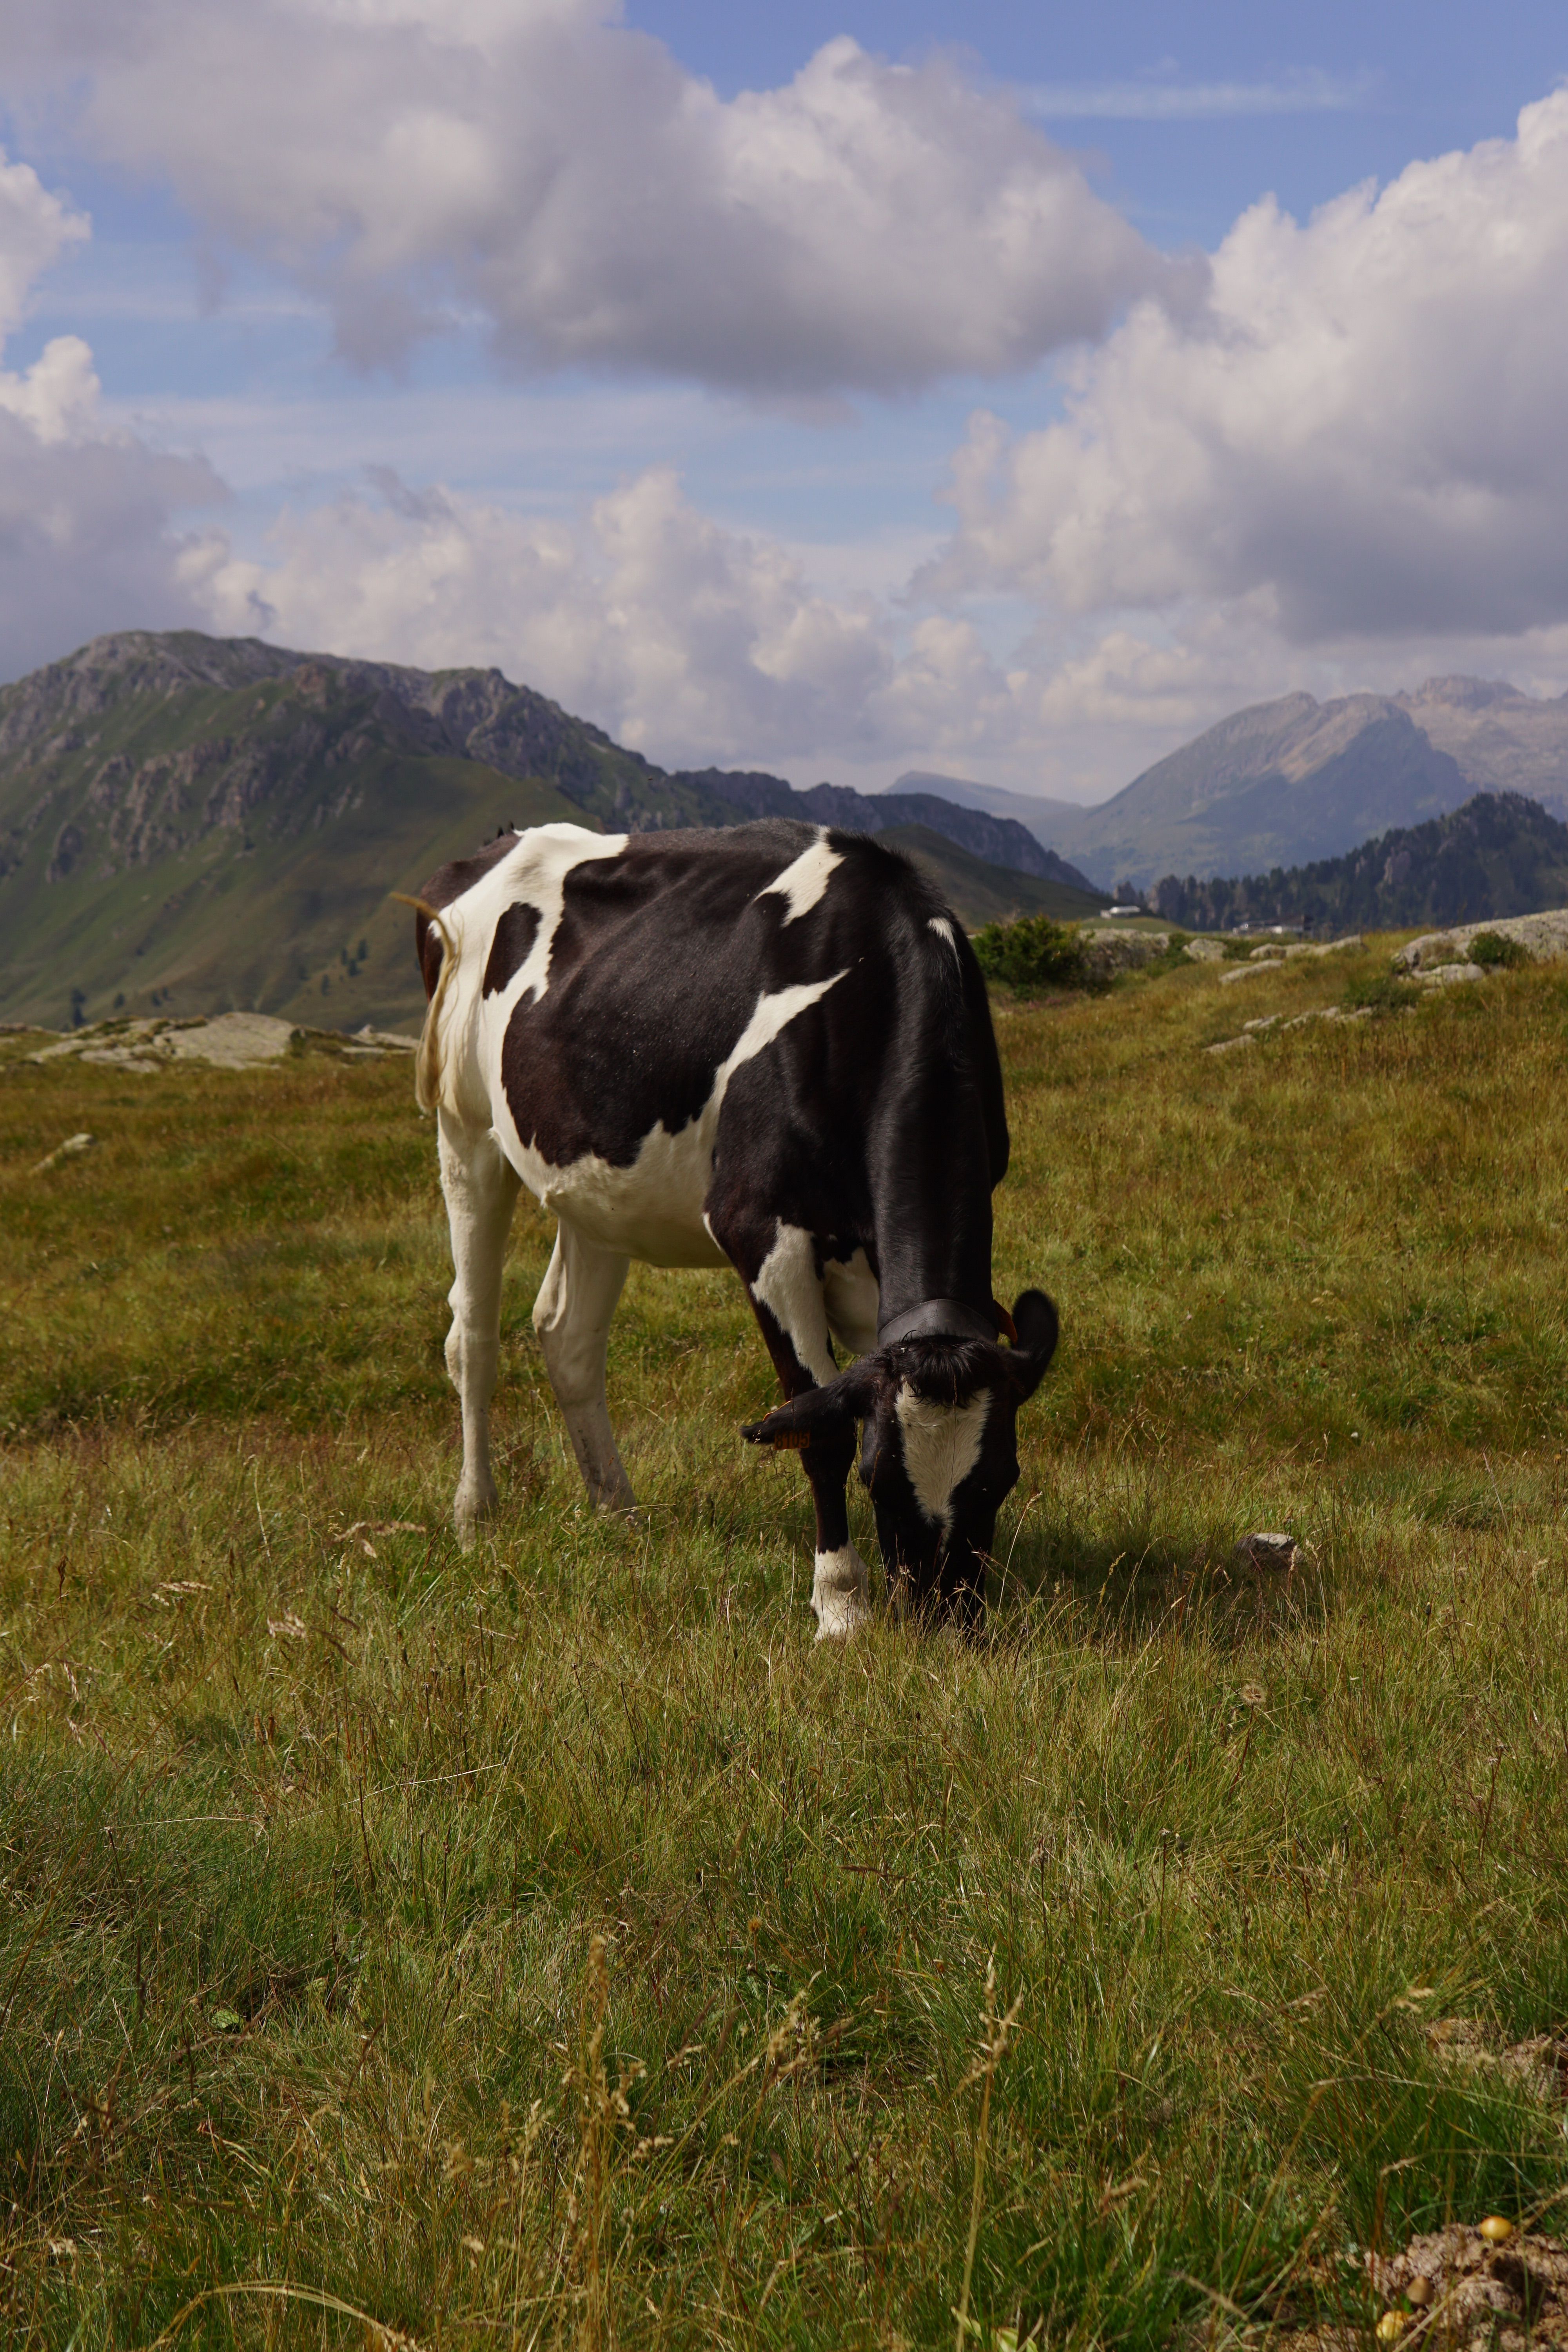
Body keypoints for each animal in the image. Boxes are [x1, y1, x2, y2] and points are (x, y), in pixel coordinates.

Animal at [410, 817, 1057, 1637]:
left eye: (1001, 1477)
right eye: (879, 1475)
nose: (943, 1618)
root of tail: (493, 846)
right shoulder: (761, 1232)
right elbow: (818, 1426)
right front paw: (841, 1607)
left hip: (590, 1176)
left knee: (568, 1336)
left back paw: (620, 1515)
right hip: (463, 1130)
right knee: (473, 1337)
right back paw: (476, 1517)